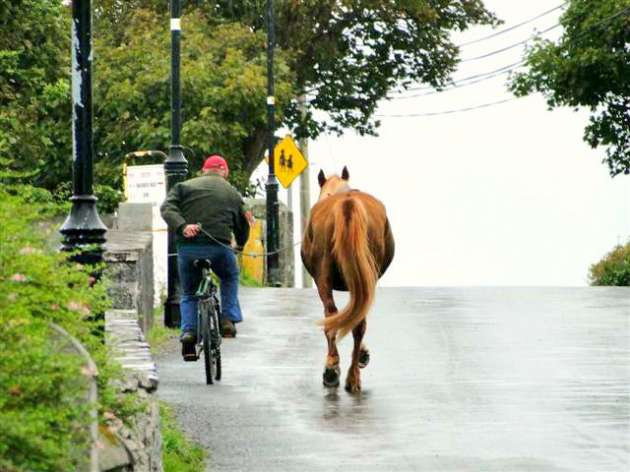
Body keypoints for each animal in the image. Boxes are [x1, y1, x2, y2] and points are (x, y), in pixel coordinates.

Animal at [302, 168, 396, 392]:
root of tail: (347, 202)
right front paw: (362, 355)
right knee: (358, 322)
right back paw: (353, 377)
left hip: (323, 278)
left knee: (331, 315)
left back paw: (332, 370)